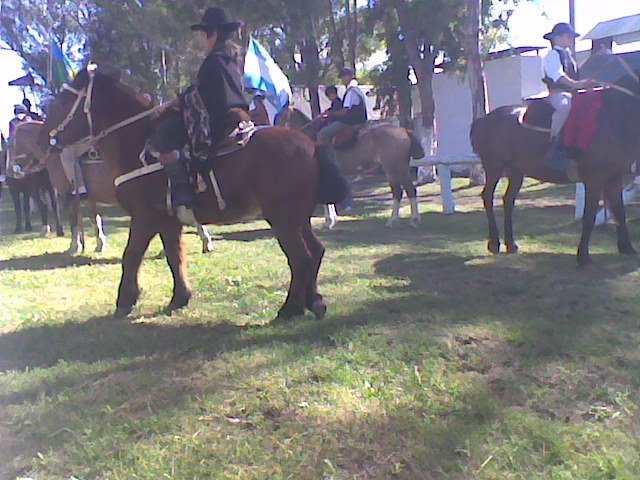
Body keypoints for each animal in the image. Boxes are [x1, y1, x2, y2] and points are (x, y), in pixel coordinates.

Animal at [40, 63, 350, 318]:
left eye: (64, 100)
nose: (46, 137)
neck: (137, 144)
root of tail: (312, 144)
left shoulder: (144, 218)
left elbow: (131, 256)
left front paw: (126, 300)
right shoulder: (168, 222)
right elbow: (174, 257)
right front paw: (180, 297)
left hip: (282, 219)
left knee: (300, 257)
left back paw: (290, 308)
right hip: (297, 217)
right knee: (315, 251)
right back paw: (313, 300)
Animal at [276, 108, 422, 228]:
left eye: (282, 117)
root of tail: (404, 130)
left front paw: (329, 222)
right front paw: (332, 220)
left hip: (393, 168)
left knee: (399, 191)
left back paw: (394, 220)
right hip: (401, 168)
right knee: (410, 189)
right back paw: (413, 219)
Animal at [470, 52, 640, 266]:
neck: (613, 115)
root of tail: (483, 120)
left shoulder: (614, 177)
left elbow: (619, 210)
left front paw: (627, 248)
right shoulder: (594, 179)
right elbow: (590, 215)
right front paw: (583, 256)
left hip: (516, 172)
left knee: (508, 201)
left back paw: (511, 244)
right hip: (494, 168)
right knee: (487, 197)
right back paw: (494, 243)